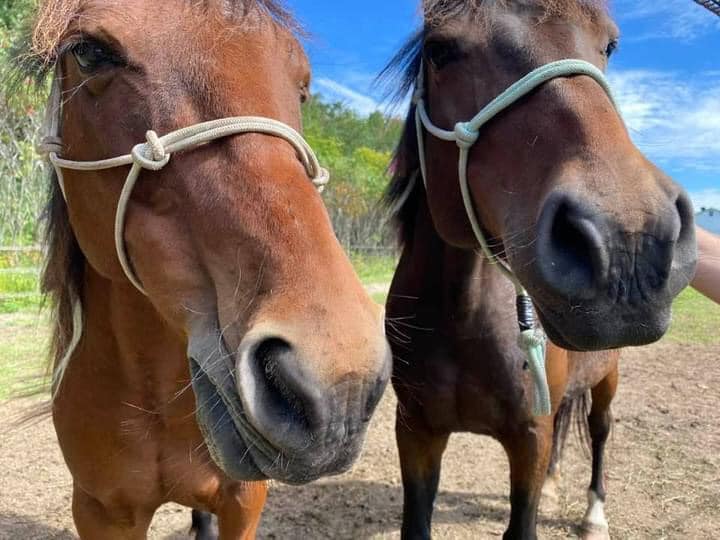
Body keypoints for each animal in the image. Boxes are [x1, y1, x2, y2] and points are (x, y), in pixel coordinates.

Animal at [382, 1, 696, 540]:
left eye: (609, 45)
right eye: (440, 50)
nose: (627, 241)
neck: (463, 319)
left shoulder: (530, 437)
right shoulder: (417, 431)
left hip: (607, 380)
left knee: (600, 431)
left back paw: (594, 514)